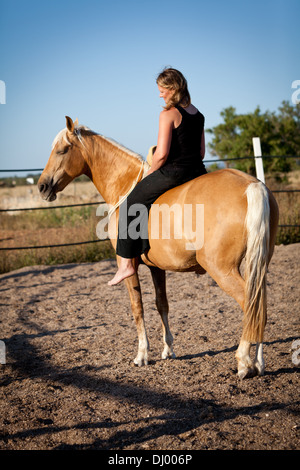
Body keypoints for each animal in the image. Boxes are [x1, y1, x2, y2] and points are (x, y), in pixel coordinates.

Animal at [37, 116, 278, 378]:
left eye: (62, 150)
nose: (42, 186)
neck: (124, 186)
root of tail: (252, 185)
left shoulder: (128, 265)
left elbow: (138, 307)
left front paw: (142, 355)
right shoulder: (157, 267)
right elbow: (162, 304)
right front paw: (168, 350)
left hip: (222, 270)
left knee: (250, 305)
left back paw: (244, 362)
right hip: (257, 267)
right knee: (260, 306)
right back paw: (260, 363)